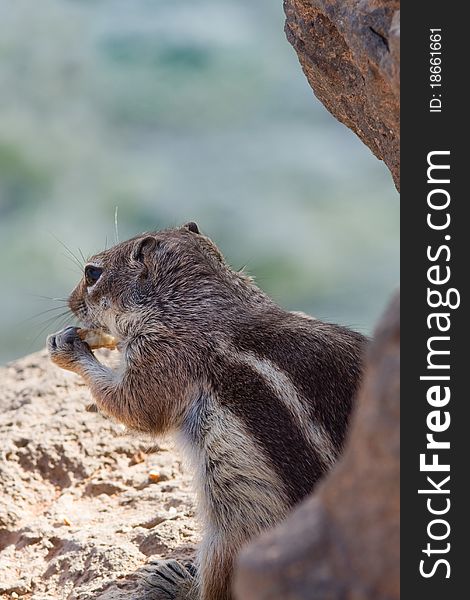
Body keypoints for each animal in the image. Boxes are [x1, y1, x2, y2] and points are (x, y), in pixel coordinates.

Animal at [46, 224, 368, 600]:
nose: (70, 301)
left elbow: (135, 406)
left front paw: (69, 348)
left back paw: (175, 582)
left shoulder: (163, 354)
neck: (201, 298)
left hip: (235, 532)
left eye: (92, 273)